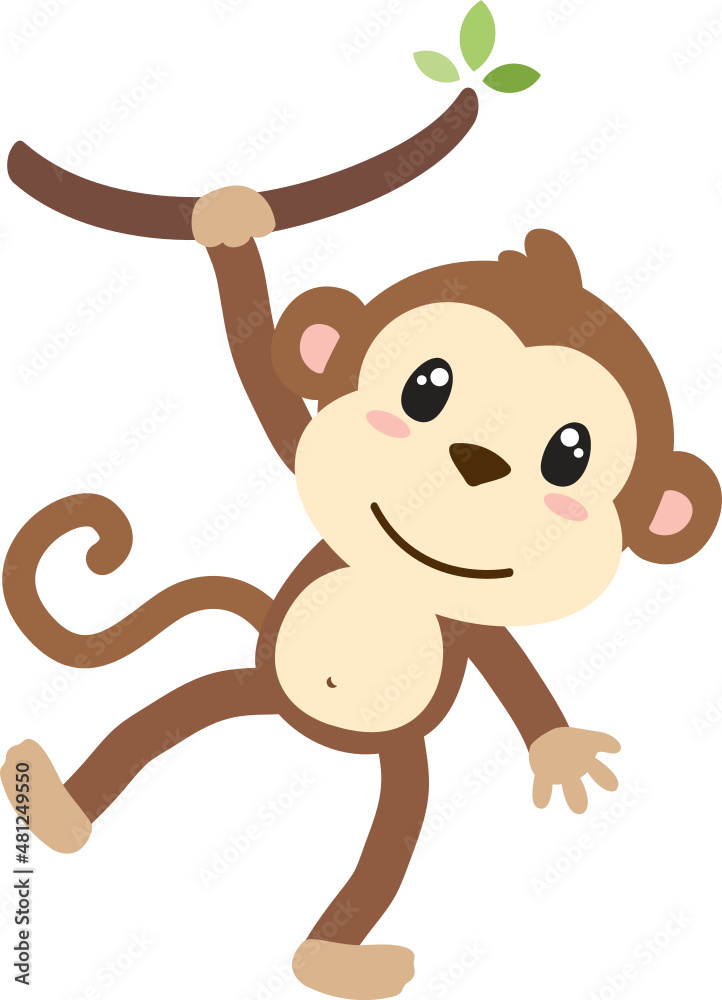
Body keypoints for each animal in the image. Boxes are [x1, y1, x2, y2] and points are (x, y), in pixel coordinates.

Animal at [2, 184, 720, 1000]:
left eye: (571, 453)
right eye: (427, 386)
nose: (475, 460)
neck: (399, 578)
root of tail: (304, 724)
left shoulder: (474, 632)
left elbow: (516, 675)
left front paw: (564, 756)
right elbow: (260, 370)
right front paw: (229, 224)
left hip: (398, 758)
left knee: (385, 843)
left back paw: (336, 958)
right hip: (254, 680)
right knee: (167, 715)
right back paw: (55, 809)